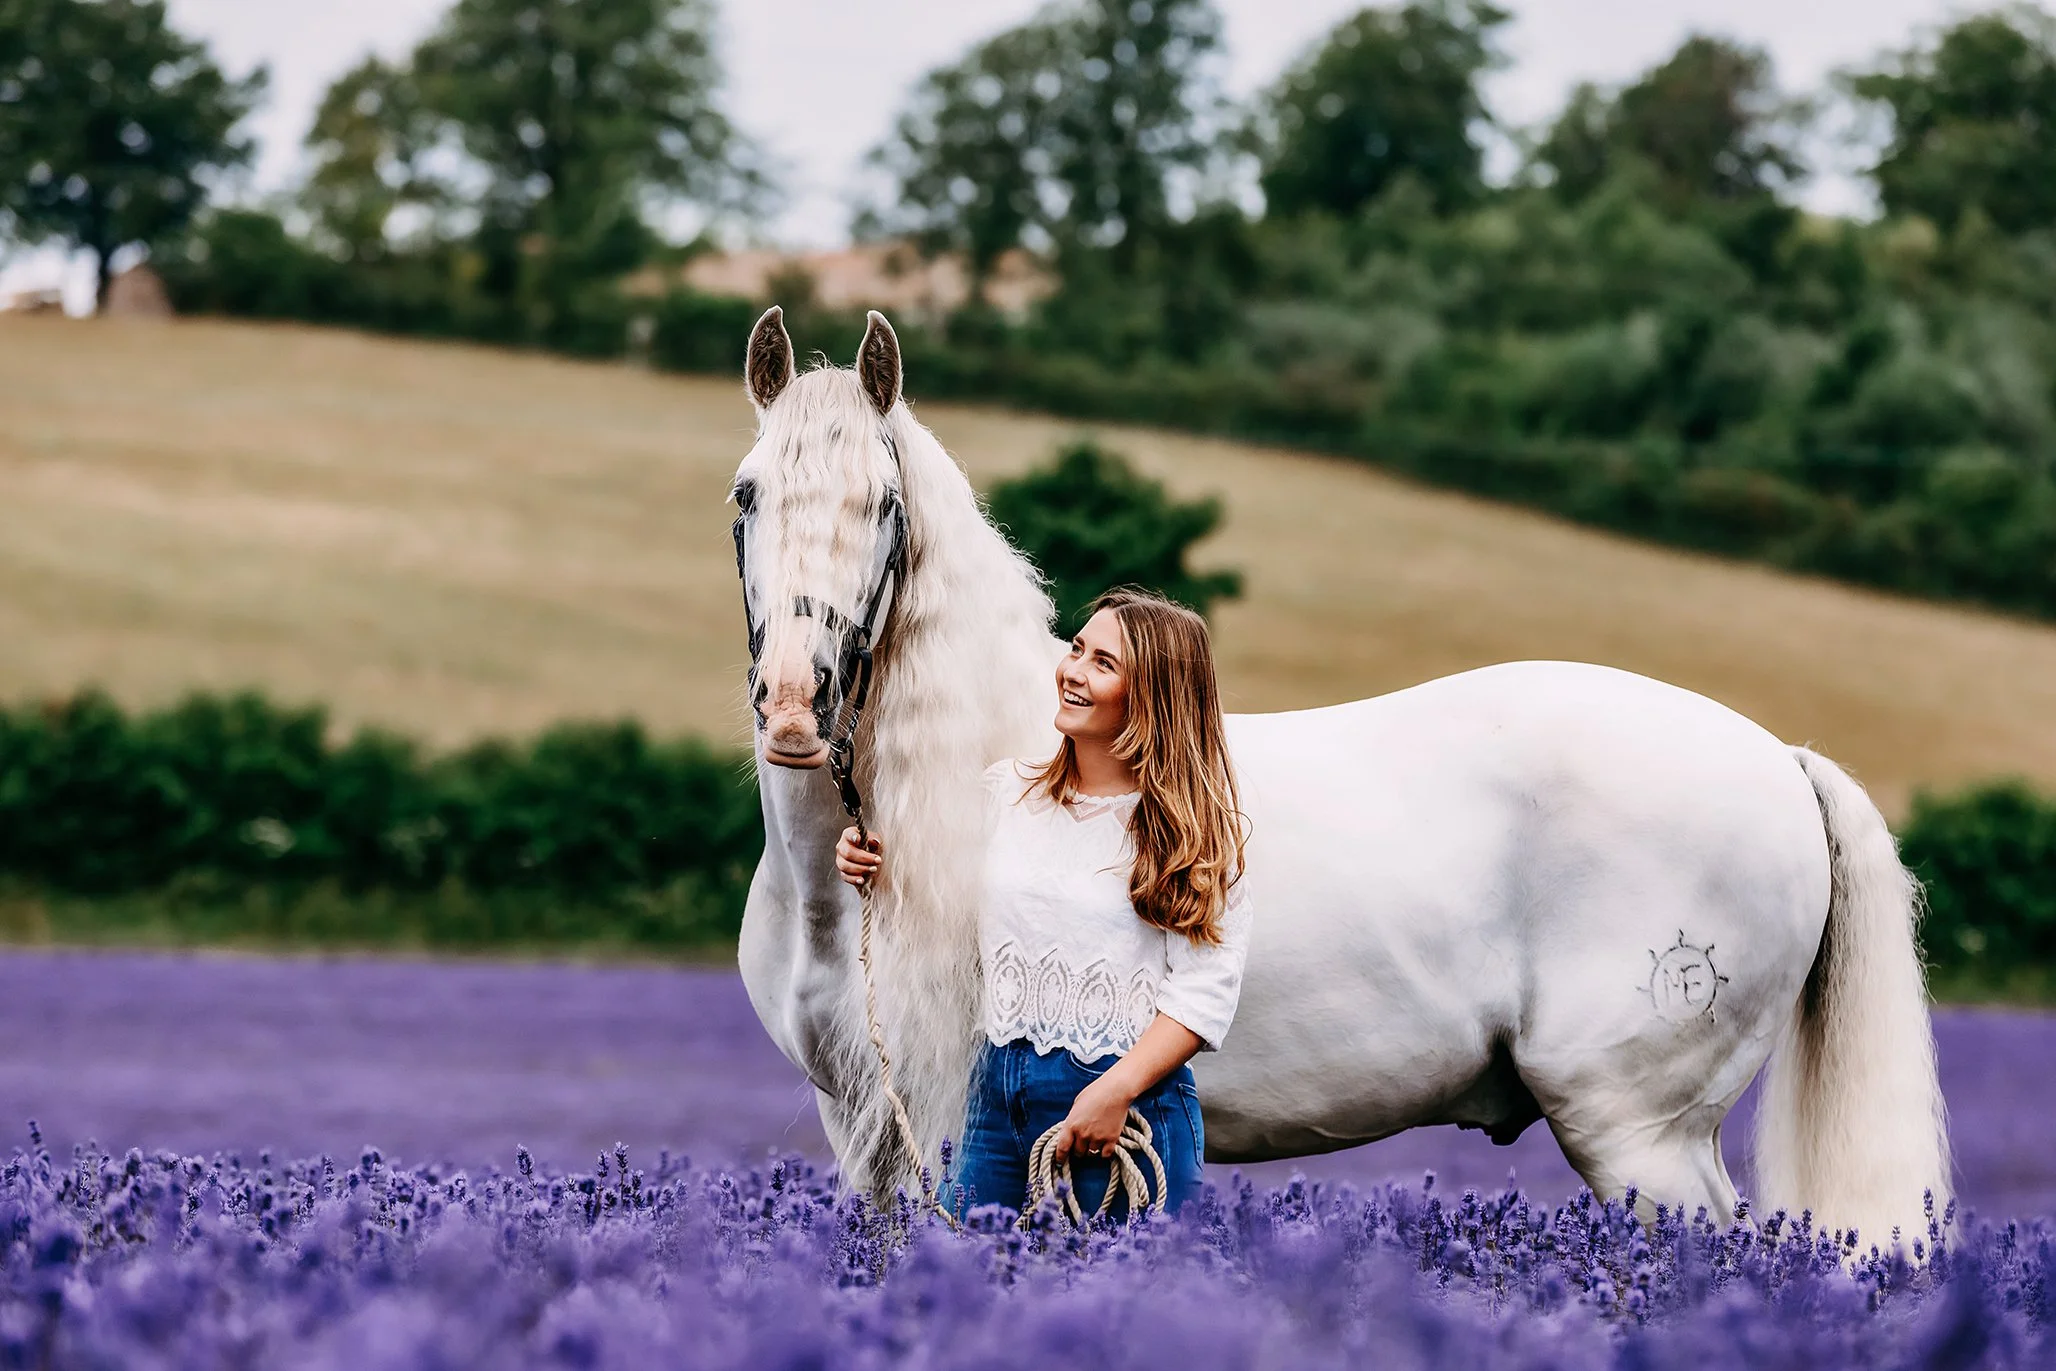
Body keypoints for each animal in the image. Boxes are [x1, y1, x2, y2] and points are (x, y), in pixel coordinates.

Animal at [729, 305, 1951, 1247]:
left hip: (1641, 1141)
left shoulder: (942, 1121)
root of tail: (1781, 760)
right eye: (747, 496)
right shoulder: (866, 1133)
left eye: (885, 507)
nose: (795, 706)